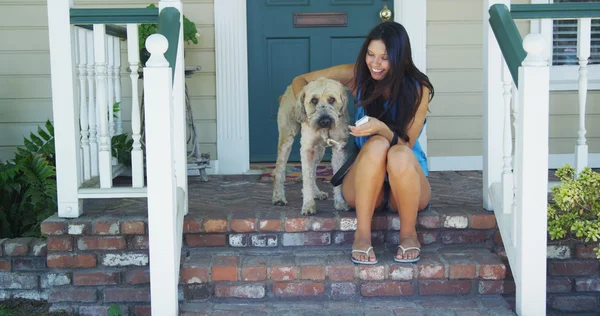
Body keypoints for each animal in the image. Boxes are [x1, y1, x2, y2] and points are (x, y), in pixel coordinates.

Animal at [274, 77, 352, 215]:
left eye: (332, 99)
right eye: (314, 100)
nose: (325, 121)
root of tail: (288, 88)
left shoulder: (339, 149)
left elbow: (335, 178)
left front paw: (340, 203)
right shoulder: (306, 148)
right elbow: (307, 178)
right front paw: (308, 205)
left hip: (319, 150)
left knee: (314, 170)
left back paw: (316, 193)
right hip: (286, 139)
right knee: (279, 169)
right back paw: (278, 197)